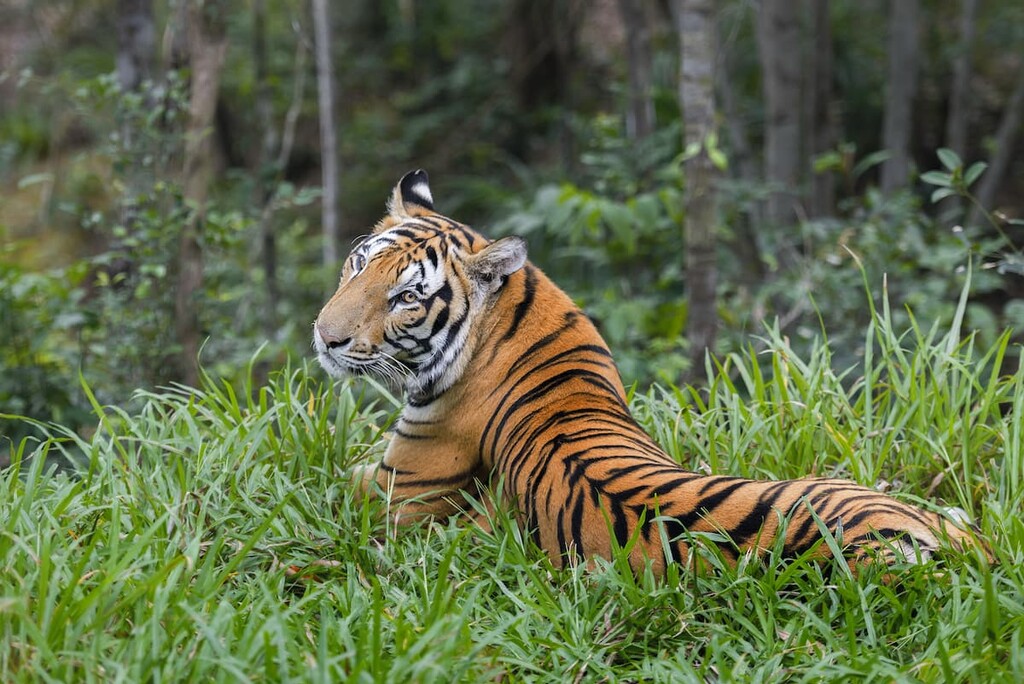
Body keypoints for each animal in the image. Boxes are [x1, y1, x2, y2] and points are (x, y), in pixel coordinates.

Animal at [312, 169, 989, 576]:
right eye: (358, 263)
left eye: (405, 297)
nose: (325, 335)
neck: (518, 314)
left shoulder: (394, 491)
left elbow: (322, 476)